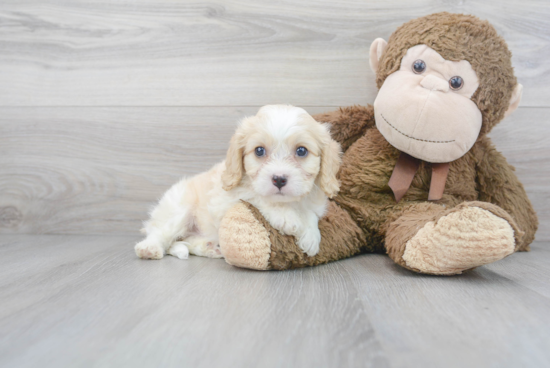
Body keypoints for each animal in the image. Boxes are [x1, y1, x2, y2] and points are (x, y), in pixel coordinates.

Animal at [135, 105, 340, 260]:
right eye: (259, 151)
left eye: (301, 151)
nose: (279, 179)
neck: (289, 202)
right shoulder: (225, 200)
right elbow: (257, 196)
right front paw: (286, 217)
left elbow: (311, 214)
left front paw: (311, 237)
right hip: (178, 208)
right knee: (162, 233)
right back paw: (149, 248)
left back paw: (209, 247)